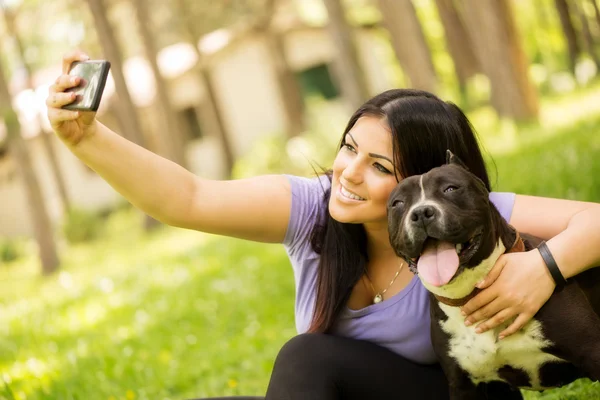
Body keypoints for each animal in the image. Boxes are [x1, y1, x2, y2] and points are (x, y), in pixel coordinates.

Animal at [386, 151, 596, 400]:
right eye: (398, 203)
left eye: (450, 188)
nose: (420, 213)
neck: (470, 291)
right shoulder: (463, 386)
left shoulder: (592, 350)